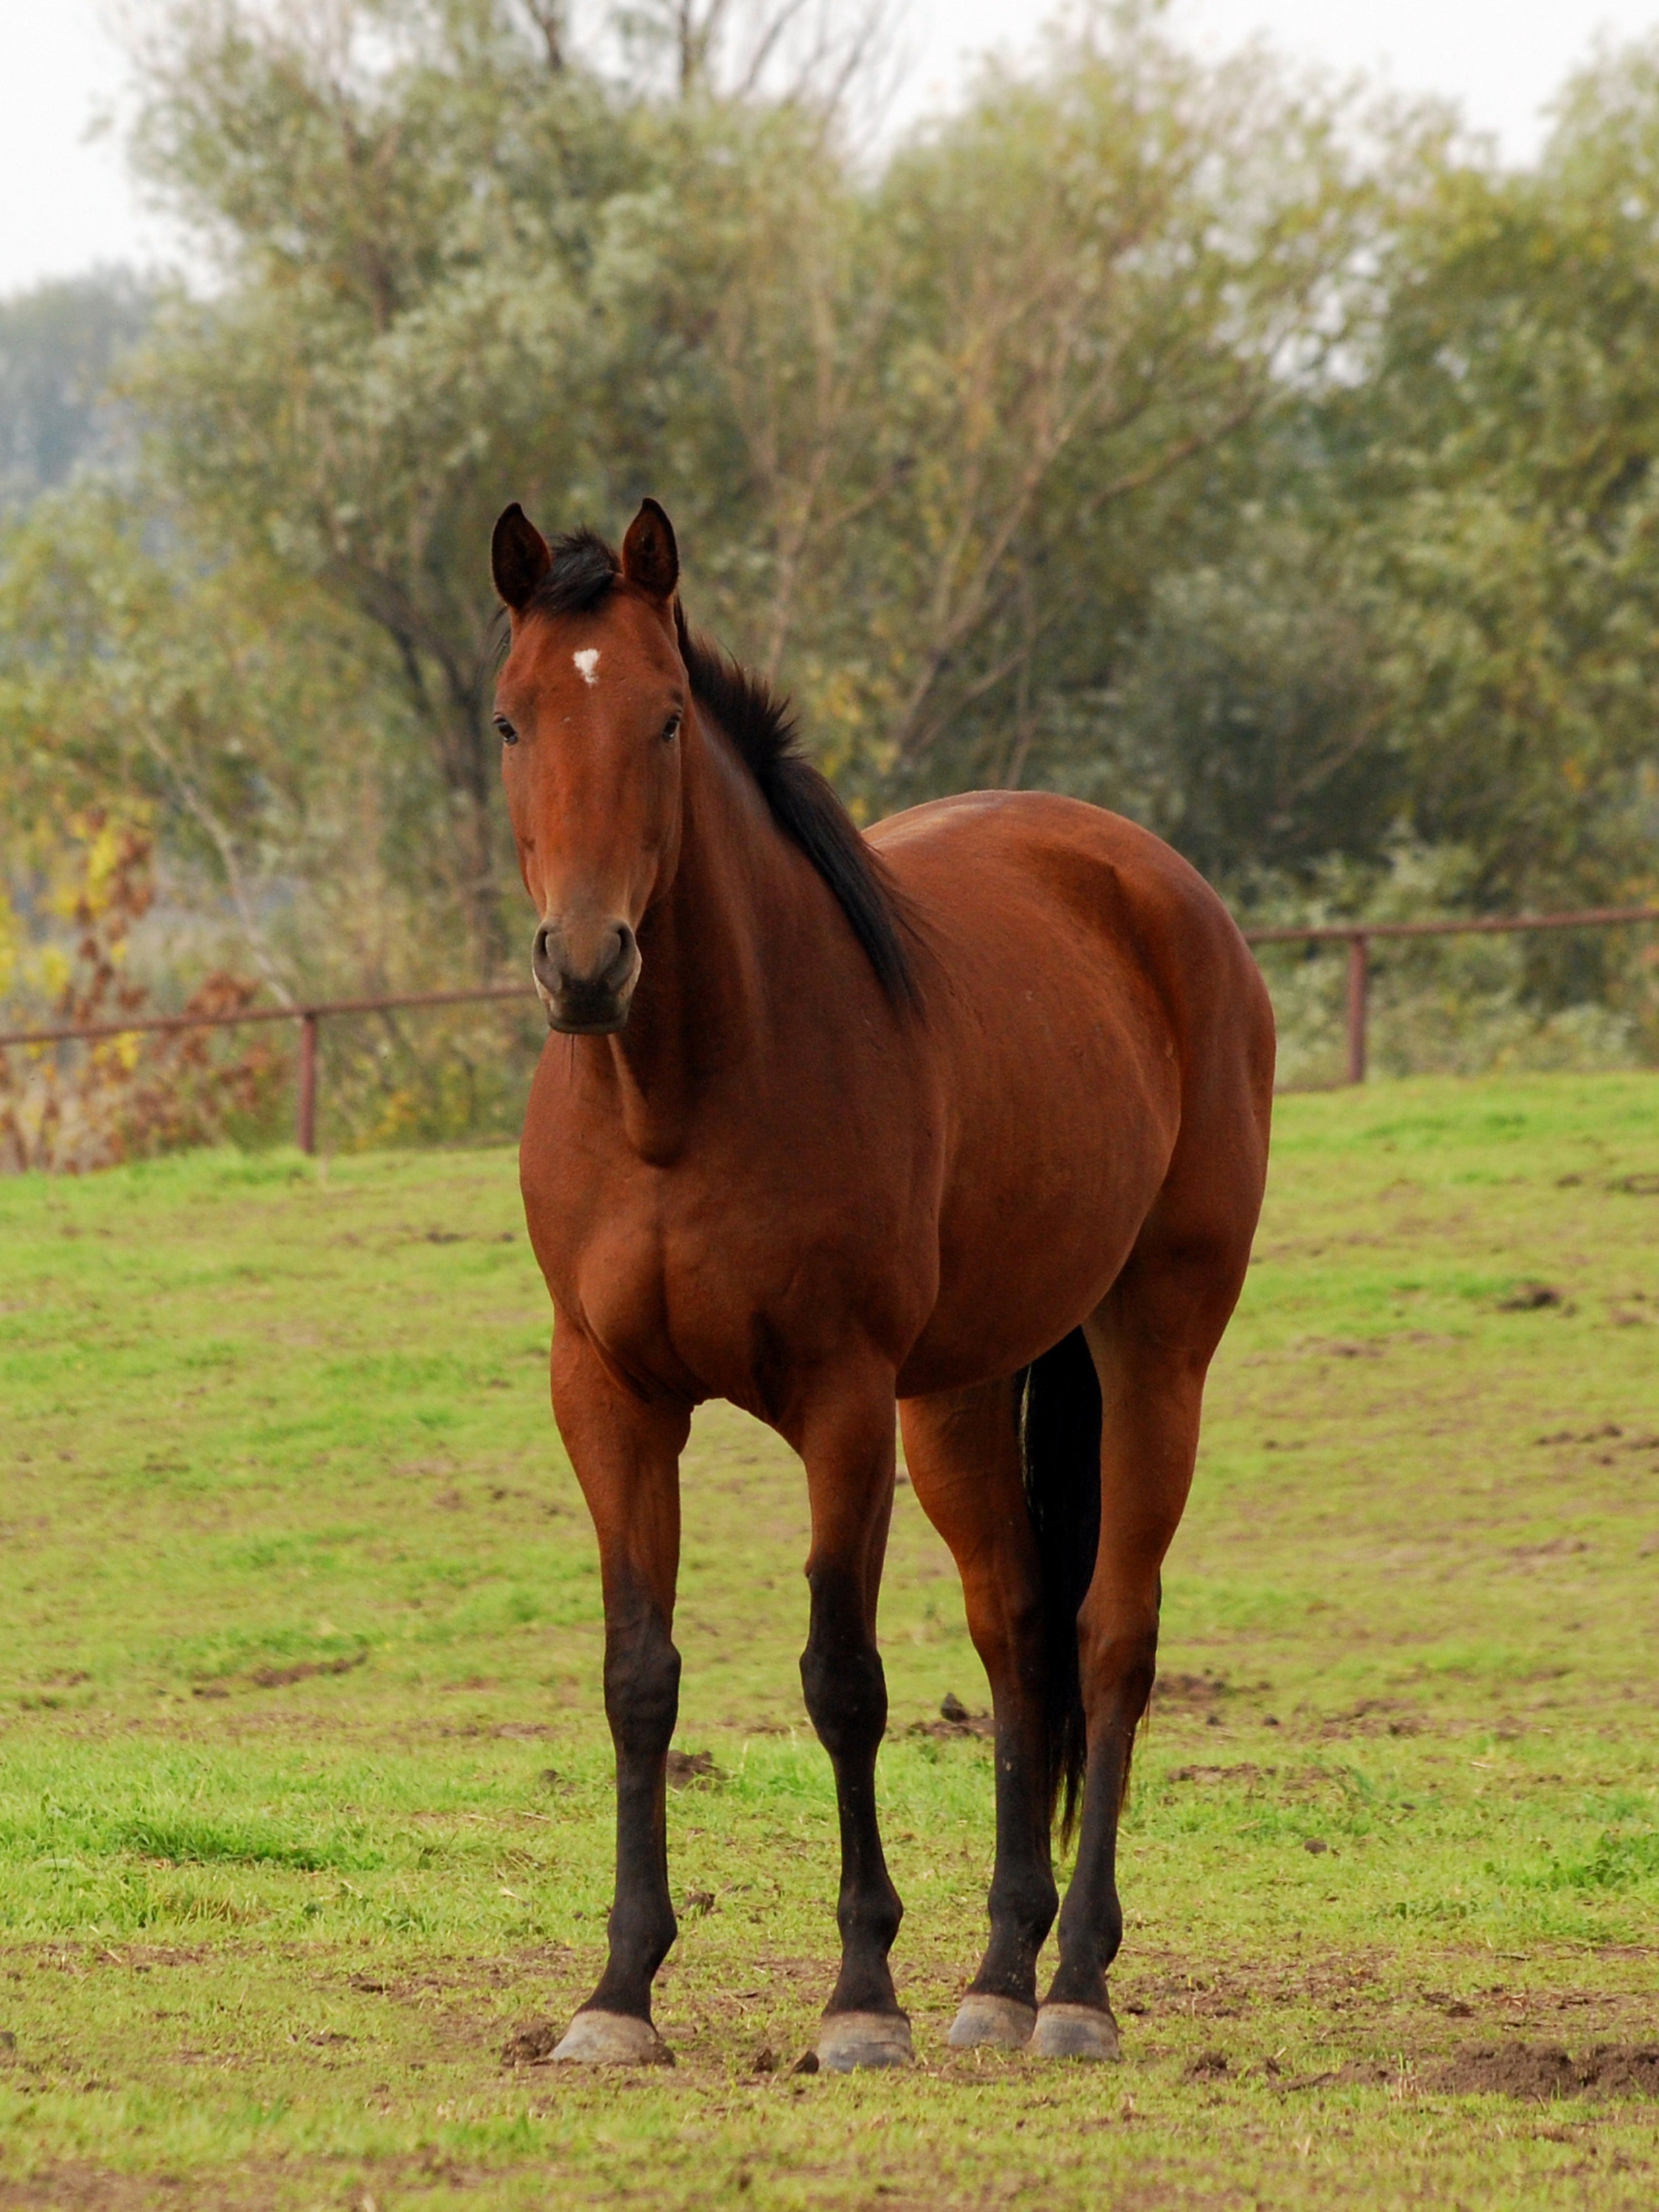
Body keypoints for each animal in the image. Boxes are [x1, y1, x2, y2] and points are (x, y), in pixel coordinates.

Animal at [491, 496, 1274, 2071]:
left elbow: (841, 1680)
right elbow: (637, 1675)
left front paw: (859, 1994)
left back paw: (1076, 1987)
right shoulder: (607, 1398)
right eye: (508, 720)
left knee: (1111, 1637)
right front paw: (618, 1991)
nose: (587, 964)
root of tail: (1162, 892)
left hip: (1154, 1345)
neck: (678, 1094)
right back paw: (999, 1975)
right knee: (1020, 1638)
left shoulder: (840, 1403)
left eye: (666, 718)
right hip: (964, 1393)